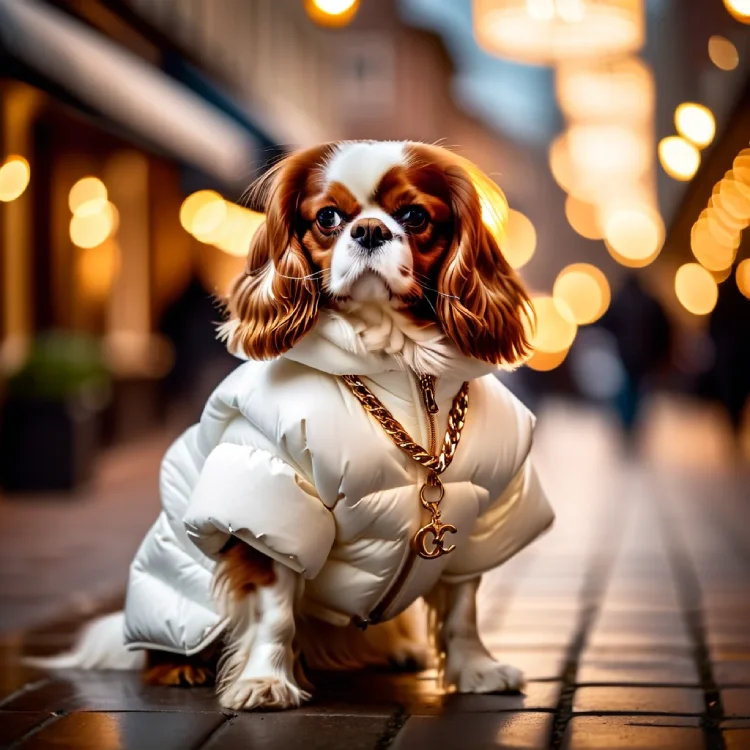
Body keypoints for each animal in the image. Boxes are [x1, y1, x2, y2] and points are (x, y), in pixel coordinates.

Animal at [32, 141, 556, 712]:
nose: (368, 230)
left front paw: (477, 670)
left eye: (414, 216)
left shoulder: (481, 514)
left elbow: (462, 604)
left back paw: (395, 651)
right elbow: (273, 610)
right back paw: (182, 668)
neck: (401, 369)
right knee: (160, 648)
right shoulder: (273, 505)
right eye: (328, 218)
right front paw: (264, 681)